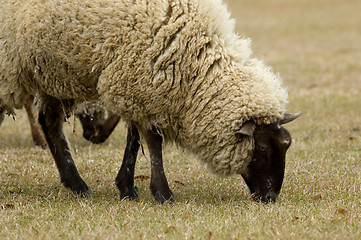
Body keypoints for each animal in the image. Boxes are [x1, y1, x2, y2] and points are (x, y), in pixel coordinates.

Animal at [1, 0, 300, 202]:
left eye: (286, 145)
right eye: (262, 148)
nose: (270, 197)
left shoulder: (137, 86)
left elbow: (135, 139)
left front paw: (127, 187)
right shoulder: (138, 80)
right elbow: (153, 141)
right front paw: (162, 193)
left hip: (52, 70)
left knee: (49, 122)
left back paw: (76, 184)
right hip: (13, 65)